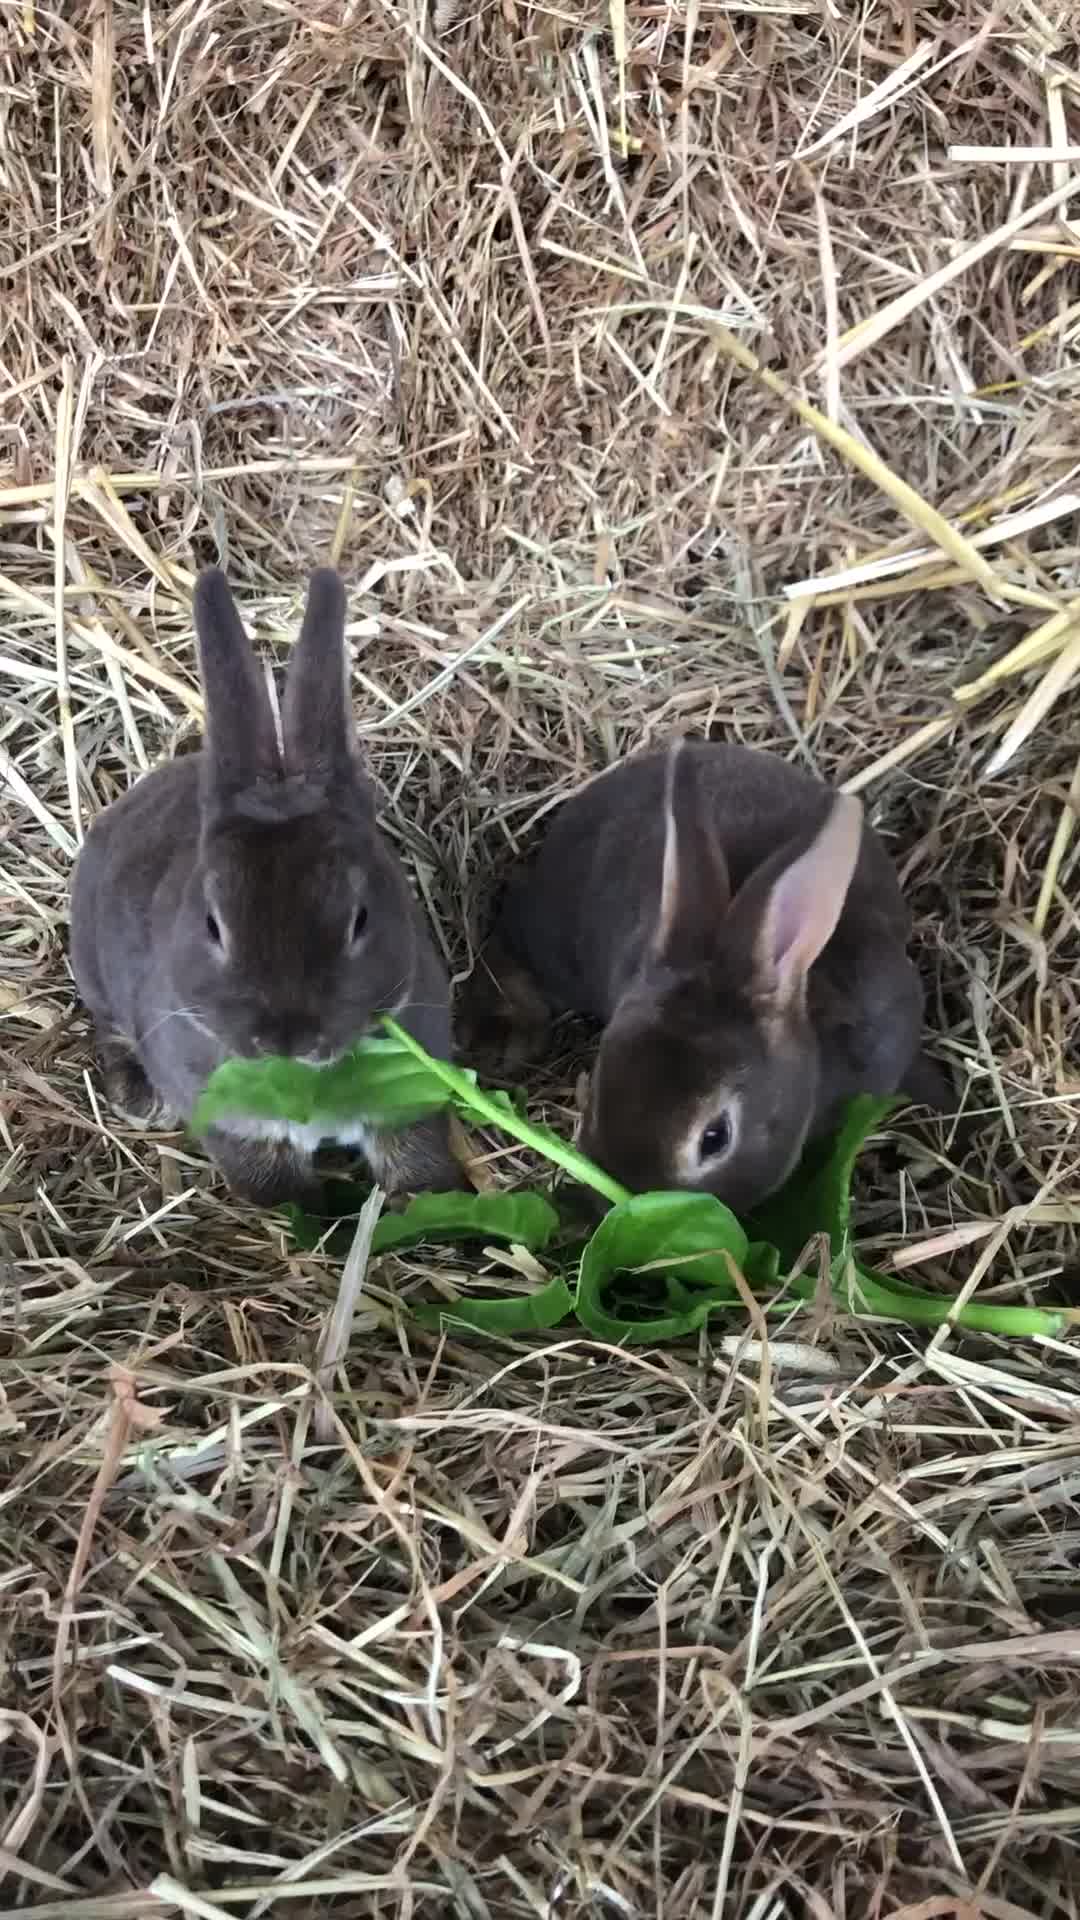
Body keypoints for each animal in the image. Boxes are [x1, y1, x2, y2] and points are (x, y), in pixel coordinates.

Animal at [70, 567, 461, 1209]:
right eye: (213, 925)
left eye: (359, 919)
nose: (287, 1037)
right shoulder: (234, 1128)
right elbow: (272, 1185)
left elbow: (415, 1155)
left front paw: (426, 1204)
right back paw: (139, 1099)